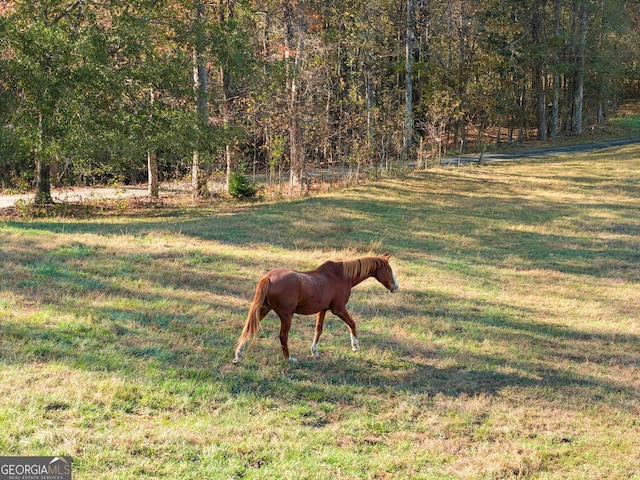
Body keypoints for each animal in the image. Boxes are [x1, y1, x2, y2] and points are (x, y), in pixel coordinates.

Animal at [232, 253, 398, 362]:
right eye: (389, 269)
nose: (395, 287)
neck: (341, 276)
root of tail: (269, 278)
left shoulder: (323, 310)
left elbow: (318, 330)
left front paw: (315, 352)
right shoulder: (338, 309)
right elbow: (352, 323)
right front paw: (355, 346)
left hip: (264, 309)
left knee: (249, 328)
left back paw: (238, 356)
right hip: (286, 315)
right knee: (283, 336)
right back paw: (289, 359)